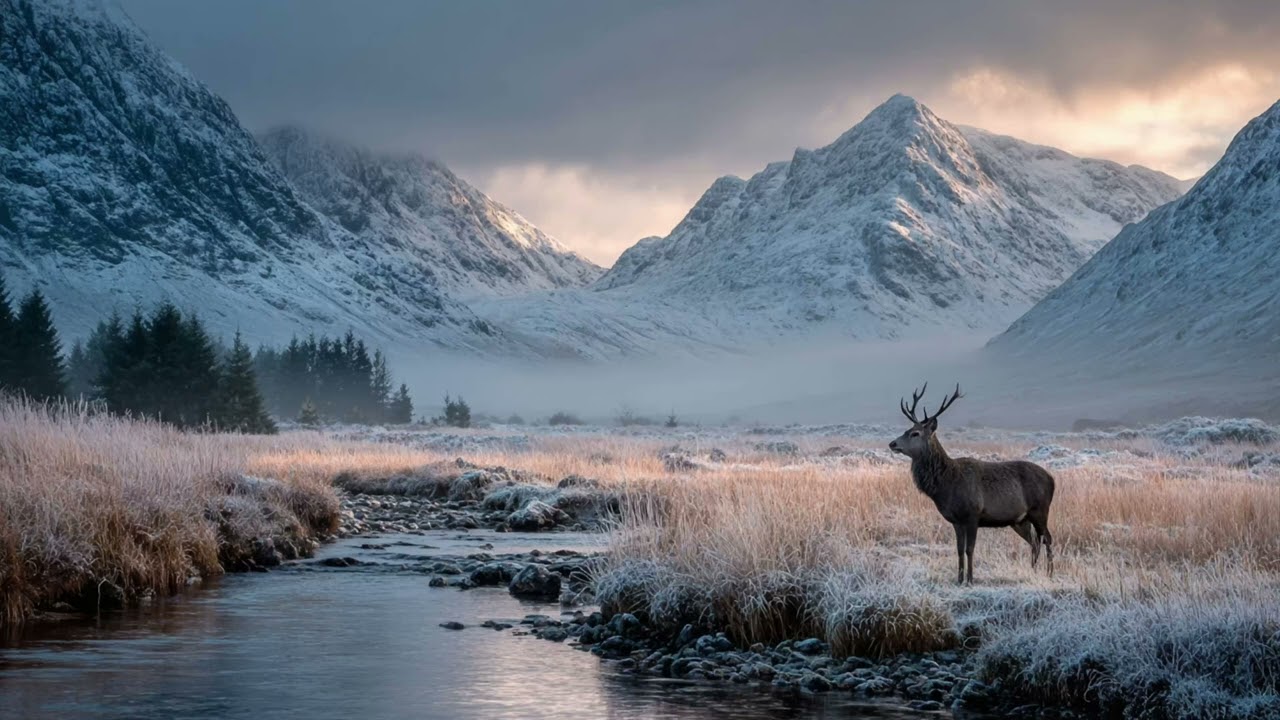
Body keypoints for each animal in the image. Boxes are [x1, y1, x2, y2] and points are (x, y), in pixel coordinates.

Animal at [888, 383, 1055, 584]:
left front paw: (970, 579)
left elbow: (970, 549)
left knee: (1047, 538)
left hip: (1040, 510)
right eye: (907, 430)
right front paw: (959, 579)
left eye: (915, 433)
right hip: (1020, 520)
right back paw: (1033, 571)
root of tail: (1052, 480)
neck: (946, 486)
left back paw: (1050, 573)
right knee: (1035, 542)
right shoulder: (956, 520)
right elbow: (959, 550)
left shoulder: (973, 514)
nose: (892, 443)